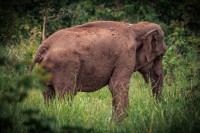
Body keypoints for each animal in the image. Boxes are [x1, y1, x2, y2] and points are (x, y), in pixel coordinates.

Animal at [29, 20, 167, 121]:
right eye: (161, 55)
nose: (157, 111)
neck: (136, 28)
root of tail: (44, 46)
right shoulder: (125, 56)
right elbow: (117, 86)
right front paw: (123, 124)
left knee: (48, 95)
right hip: (64, 68)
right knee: (65, 96)